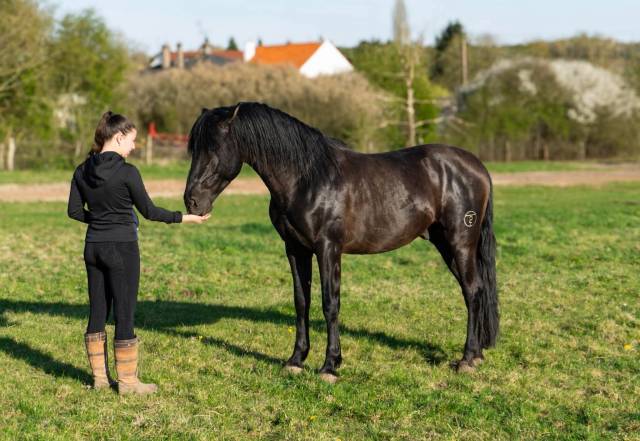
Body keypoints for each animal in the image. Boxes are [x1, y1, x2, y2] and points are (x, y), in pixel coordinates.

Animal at [184, 102, 498, 383]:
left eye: (214, 149)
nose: (192, 202)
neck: (307, 178)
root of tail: (478, 168)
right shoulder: (295, 249)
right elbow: (301, 301)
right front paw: (295, 361)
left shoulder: (328, 249)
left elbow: (329, 303)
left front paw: (329, 366)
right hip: (445, 246)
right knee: (475, 290)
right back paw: (477, 355)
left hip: (460, 243)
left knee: (472, 291)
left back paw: (467, 359)